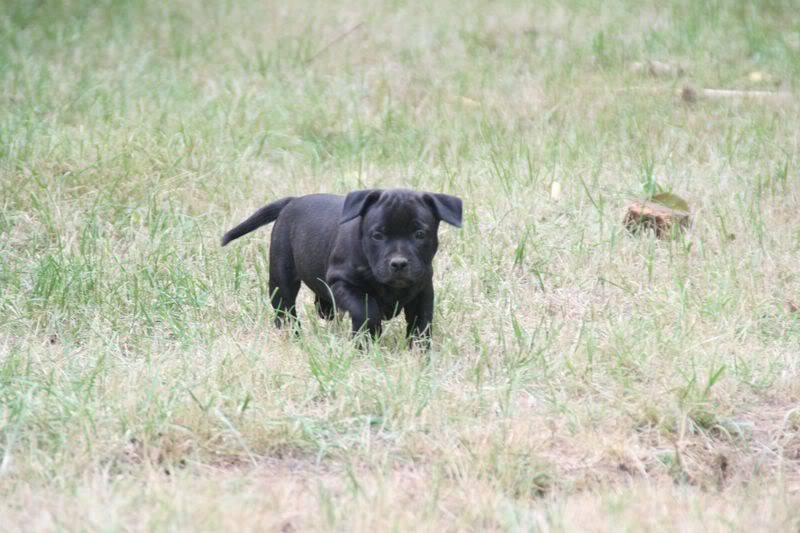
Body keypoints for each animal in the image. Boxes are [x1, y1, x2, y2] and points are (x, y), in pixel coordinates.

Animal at [225, 189, 462, 348]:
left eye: (420, 234)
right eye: (377, 235)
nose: (399, 263)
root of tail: (292, 201)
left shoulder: (422, 290)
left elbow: (421, 324)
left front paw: (420, 354)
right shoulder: (342, 283)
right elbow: (366, 310)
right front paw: (367, 343)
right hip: (281, 275)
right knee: (285, 308)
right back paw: (291, 335)